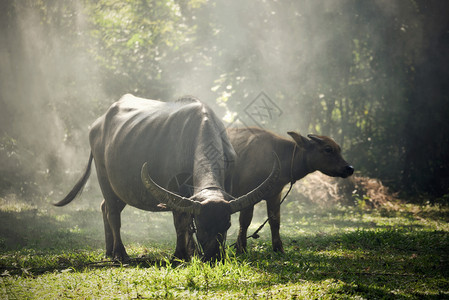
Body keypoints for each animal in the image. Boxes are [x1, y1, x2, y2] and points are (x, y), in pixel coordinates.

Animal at [54, 95, 278, 262]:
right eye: (202, 224)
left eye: (227, 225)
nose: (214, 256)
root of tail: (97, 125)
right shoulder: (174, 190)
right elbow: (181, 221)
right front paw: (180, 254)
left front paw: (191, 252)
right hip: (103, 177)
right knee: (113, 213)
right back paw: (120, 253)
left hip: (122, 188)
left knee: (105, 207)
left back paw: (109, 251)